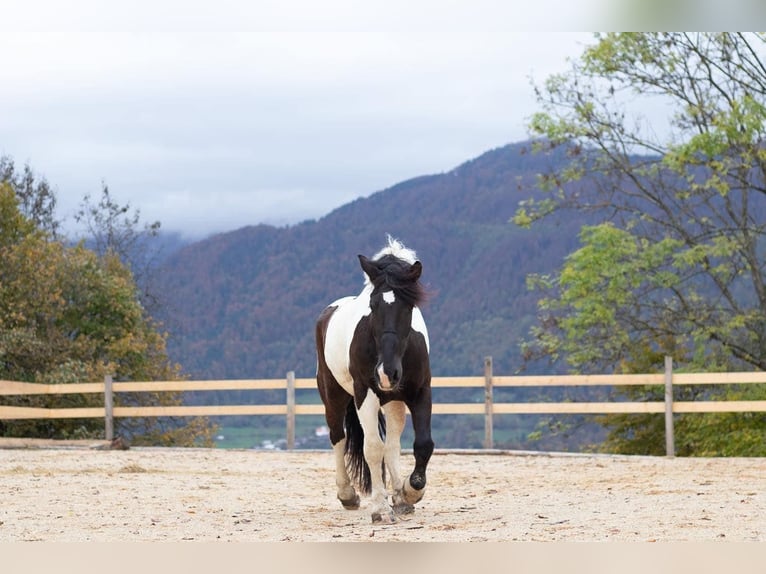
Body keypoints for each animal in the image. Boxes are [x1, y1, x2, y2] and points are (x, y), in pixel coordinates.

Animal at [315, 236, 434, 524]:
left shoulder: (420, 392)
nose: (386, 373)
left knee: (391, 445)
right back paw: (347, 495)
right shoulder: (365, 394)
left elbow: (422, 444)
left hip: (393, 402)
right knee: (338, 437)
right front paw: (380, 508)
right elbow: (372, 449)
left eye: (408, 305)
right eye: (372, 305)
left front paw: (409, 491)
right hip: (334, 396)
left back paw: (400, 497)